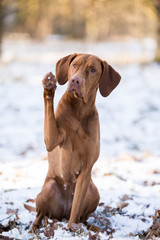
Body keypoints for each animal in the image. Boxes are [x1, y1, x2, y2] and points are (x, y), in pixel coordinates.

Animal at [33, 54, 120, 229]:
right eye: (74, 65)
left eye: (93, 70)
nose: (75, 80)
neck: (79, 109)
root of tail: (62, 214)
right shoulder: (52, 139)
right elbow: (49, 114)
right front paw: (49, 87)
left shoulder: (86, 169)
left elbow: (77, 206)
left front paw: (71, 229)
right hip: (49, 188)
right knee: (40, 215)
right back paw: (34, 228)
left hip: (93, 191)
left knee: (80, 215)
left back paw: (87, 226)